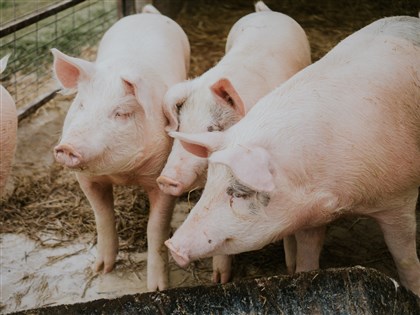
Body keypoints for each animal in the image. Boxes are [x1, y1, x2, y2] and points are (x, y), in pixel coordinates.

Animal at [51, 4, 189, 292]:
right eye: (81, 105)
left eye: (121, 113)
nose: (67, 147)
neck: (122, 174)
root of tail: (145, 14)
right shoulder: (86, 179)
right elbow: (102, 216)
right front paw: (101, 270)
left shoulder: (163, 175)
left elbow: (156, 229)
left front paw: (157, 288)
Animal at [156, 1, 310, 286]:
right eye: (181, 126)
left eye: (212, 128)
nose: (165, 180)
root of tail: (266, 12)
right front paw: (219, 280)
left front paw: (291, 267)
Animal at [166, 16, 420, 298]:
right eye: (210, 184)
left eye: (239, 192)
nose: (172, 245)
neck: (339, 199)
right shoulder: (310, 215)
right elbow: (307, 257)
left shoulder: (400, 198)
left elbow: (405, 258)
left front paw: (415, 293)